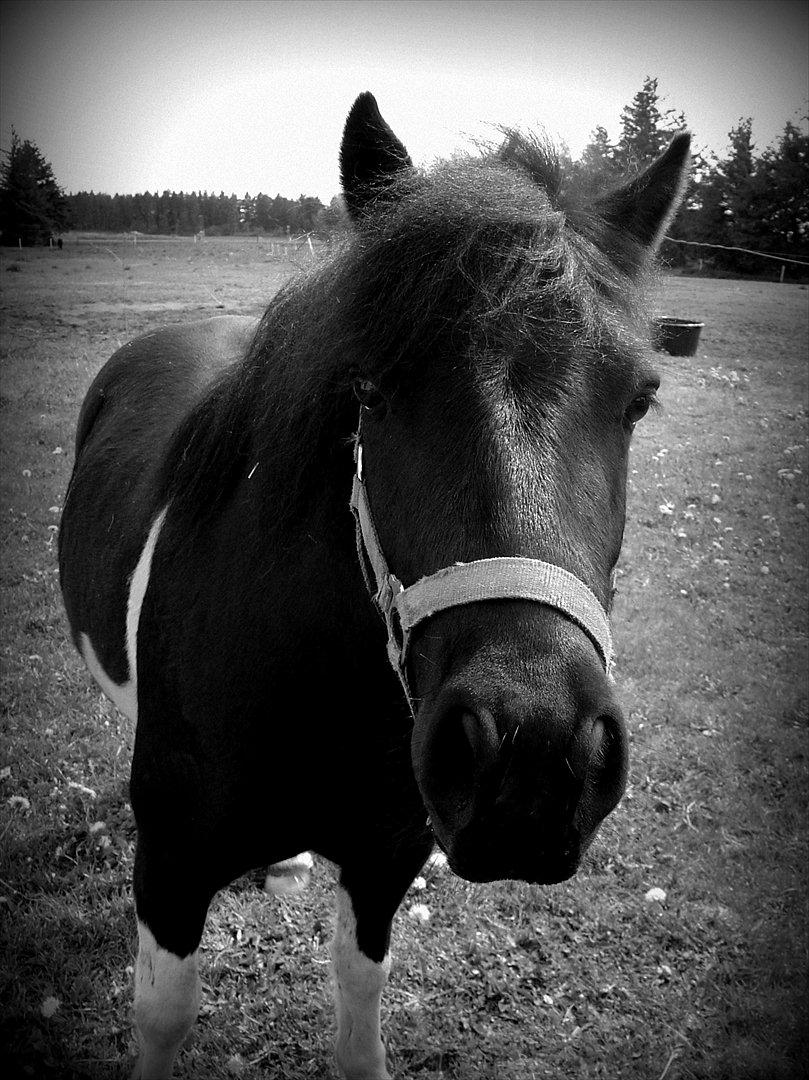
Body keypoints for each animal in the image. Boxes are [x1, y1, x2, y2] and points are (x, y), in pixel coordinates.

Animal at [58, 95, 686, 1080]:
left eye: (638, 399)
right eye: (372, 391)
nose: (534, 755)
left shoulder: (386, 856)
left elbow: (359, 1007)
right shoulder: (171, 861)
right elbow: (162, 1015)